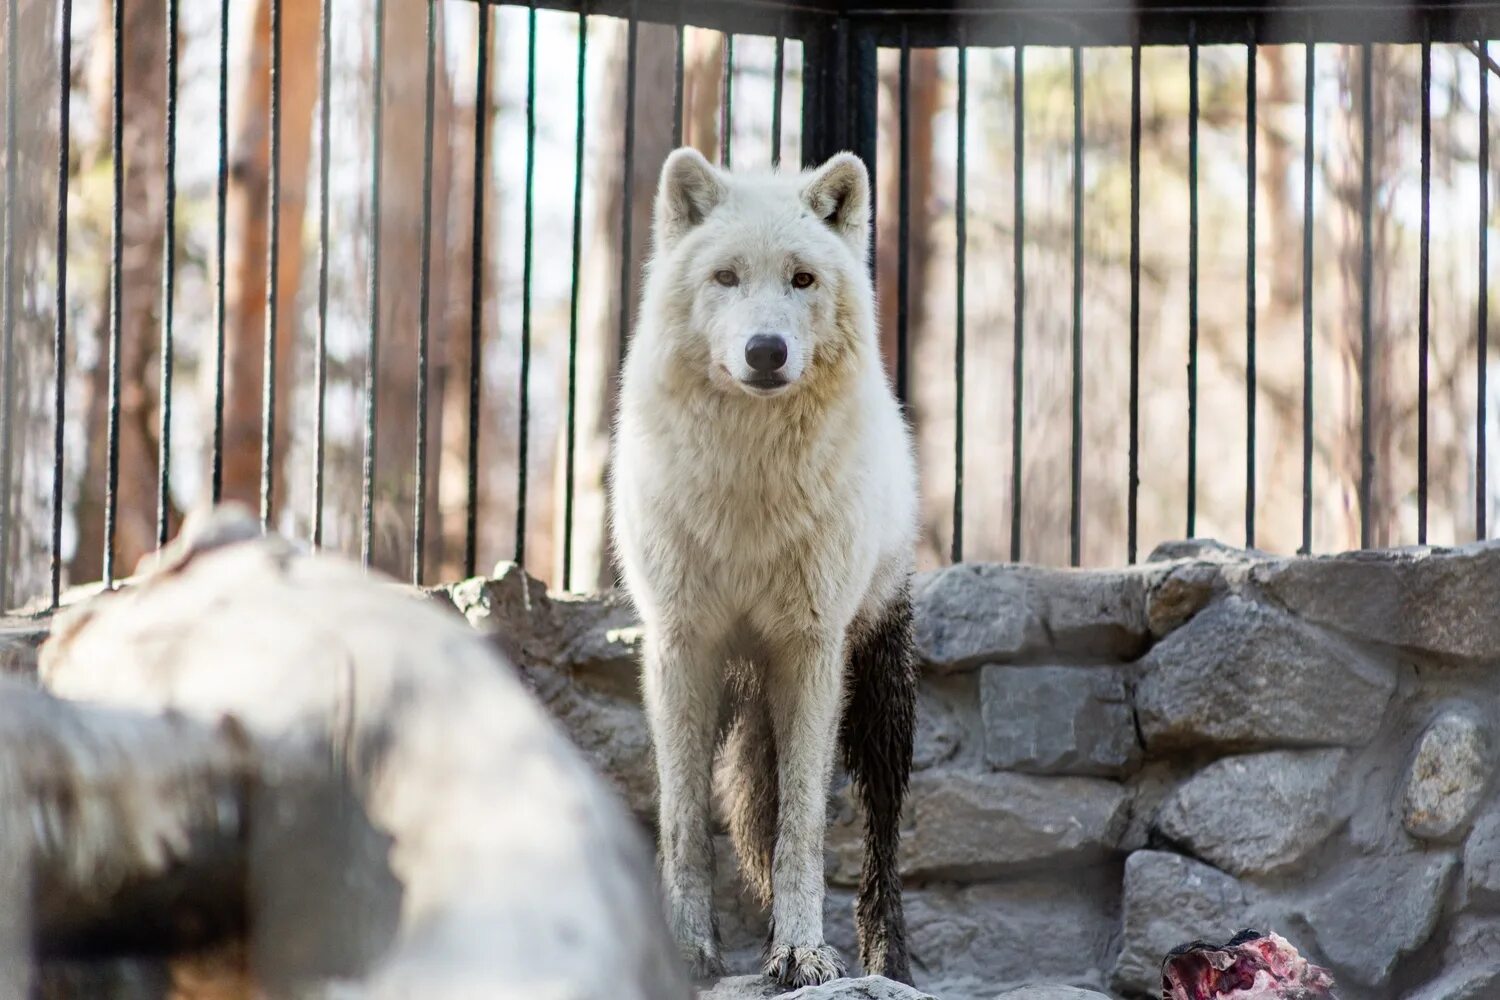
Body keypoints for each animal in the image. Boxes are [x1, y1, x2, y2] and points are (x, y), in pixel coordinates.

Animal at [606, 144, 912, 989]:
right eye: (727, 277)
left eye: (802, 279)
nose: (766, 350)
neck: (748, 484)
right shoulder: (680, 649)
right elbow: (683, 823)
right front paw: (688, 952)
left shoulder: (811, 650)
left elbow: (802, 826)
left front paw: (803, 951)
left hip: (878, 689)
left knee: (879, 843)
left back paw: (888, 961)